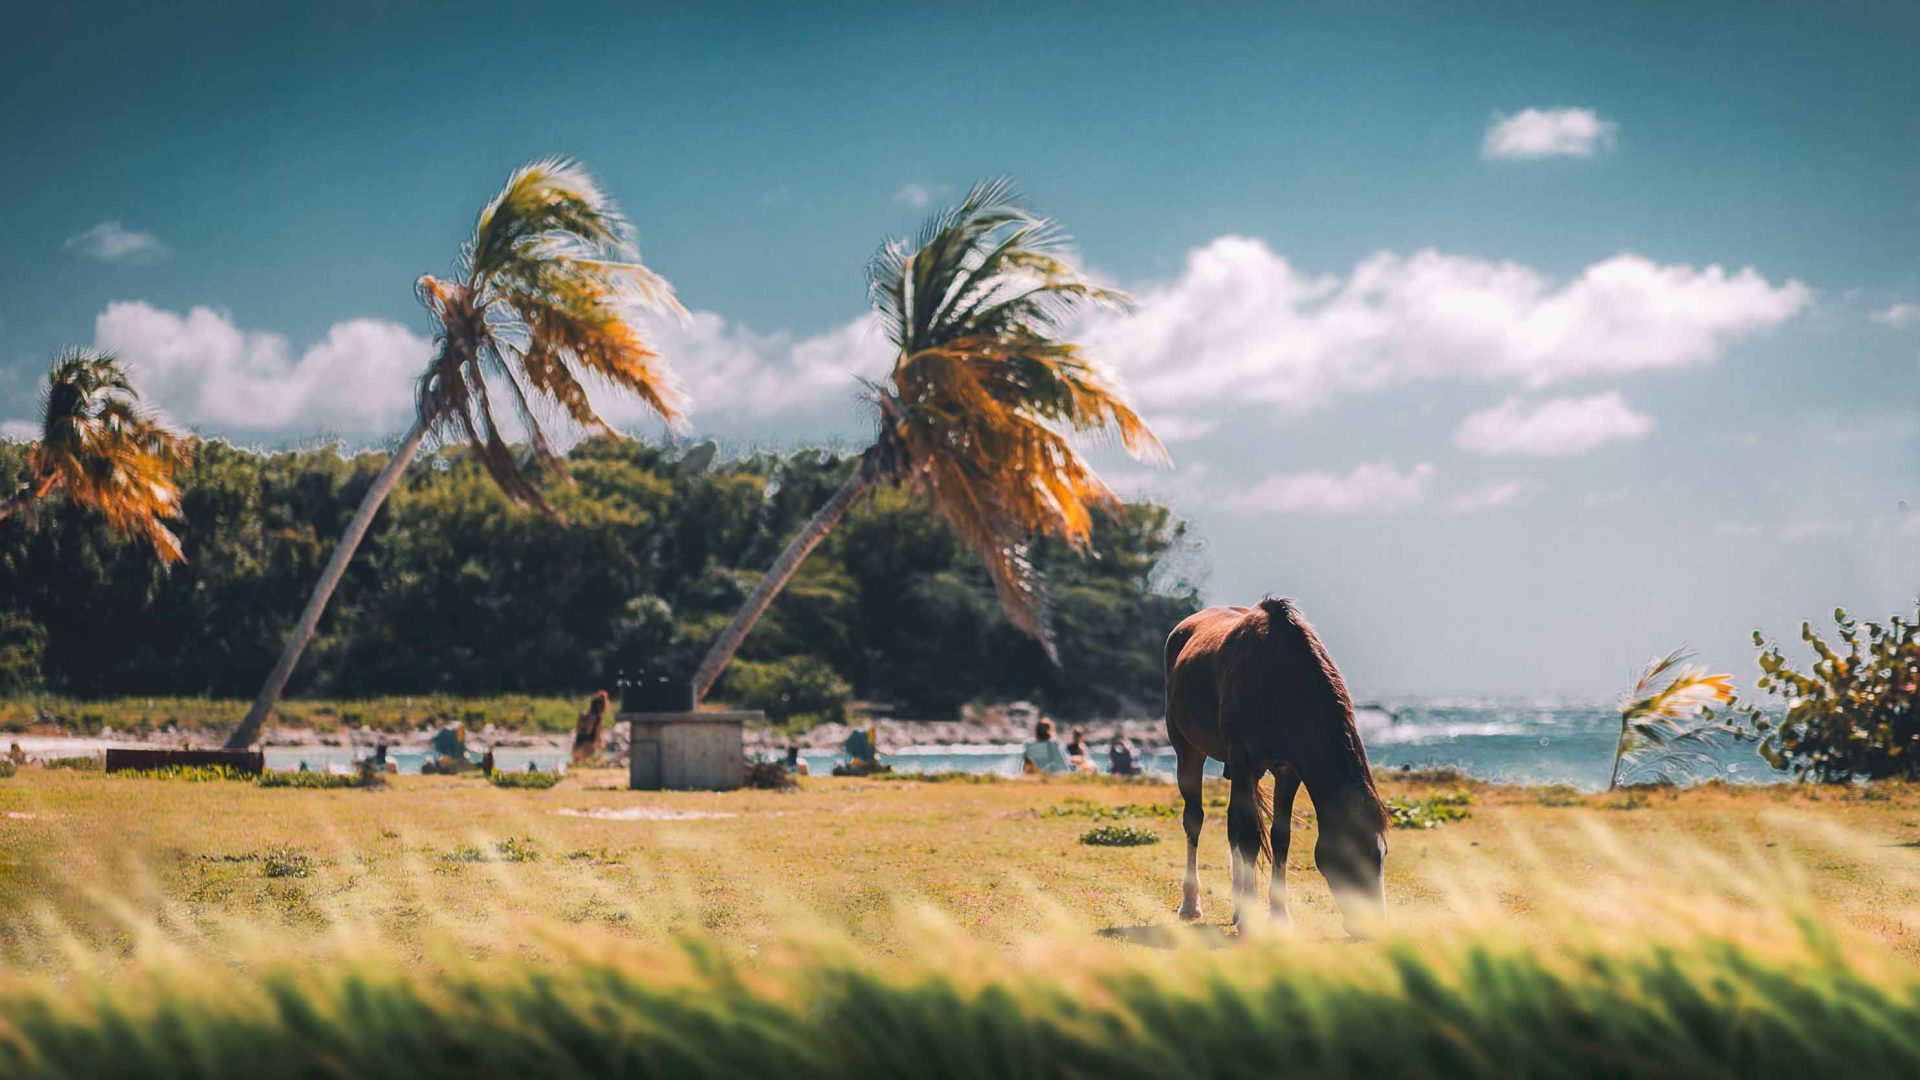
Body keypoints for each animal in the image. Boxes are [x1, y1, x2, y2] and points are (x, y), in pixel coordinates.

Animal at [1159, 595, 1390, 933]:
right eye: (1351, 857)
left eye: (1381, 854)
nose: (1371, 925)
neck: (1278, 681)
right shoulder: (1243, 760)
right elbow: (1250, 837)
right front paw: (1250, 919)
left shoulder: (1287, 770)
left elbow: (1279, 838)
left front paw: (1279, 915)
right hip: (1189, 752)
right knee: (1195, 820)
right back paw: (1191, 904)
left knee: (1233, 825)